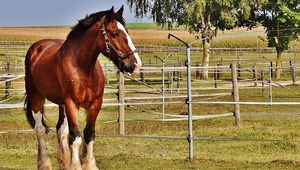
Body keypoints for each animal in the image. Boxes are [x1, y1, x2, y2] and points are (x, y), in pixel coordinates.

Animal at [24, 5, 141, 169]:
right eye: (115, 34)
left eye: (127, 32)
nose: (136, 65)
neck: (83, 69)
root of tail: (36, 48)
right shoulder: (71, 104)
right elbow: (76, 137)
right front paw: (76, 165)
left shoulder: (95, 104)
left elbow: (89, 134)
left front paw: (88, 164)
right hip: (36, 97)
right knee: (40, 130)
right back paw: (44, 164)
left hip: (61, 104)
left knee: (61, 130)